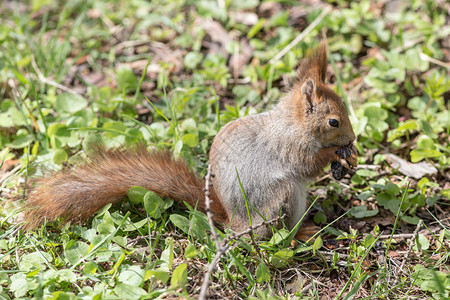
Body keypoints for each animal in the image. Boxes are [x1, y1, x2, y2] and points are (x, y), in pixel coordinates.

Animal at [22, 43, 356, 238]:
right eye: (333, 121)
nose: (352, 138)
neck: (294, 124)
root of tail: (234, 223)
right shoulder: (289, 147)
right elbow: (307, 165)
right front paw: (336, 154)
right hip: (280, 196)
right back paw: (302, 234)